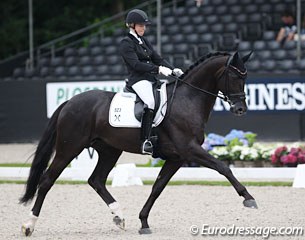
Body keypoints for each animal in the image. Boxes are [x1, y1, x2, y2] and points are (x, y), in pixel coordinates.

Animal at [20, 51, 255, 236]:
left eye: (245, 77)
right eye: (235, 76)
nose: (240, 109)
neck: (187, 99)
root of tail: (69, 102)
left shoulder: (177, 158)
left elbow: (158, 187)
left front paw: (143, 222)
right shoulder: (189, 149)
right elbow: (223, 167)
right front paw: (248, 198)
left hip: (109, 150)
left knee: (96, 180)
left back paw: (118, 216)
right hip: (69, 148)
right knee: (46, 181)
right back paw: (29, 225)